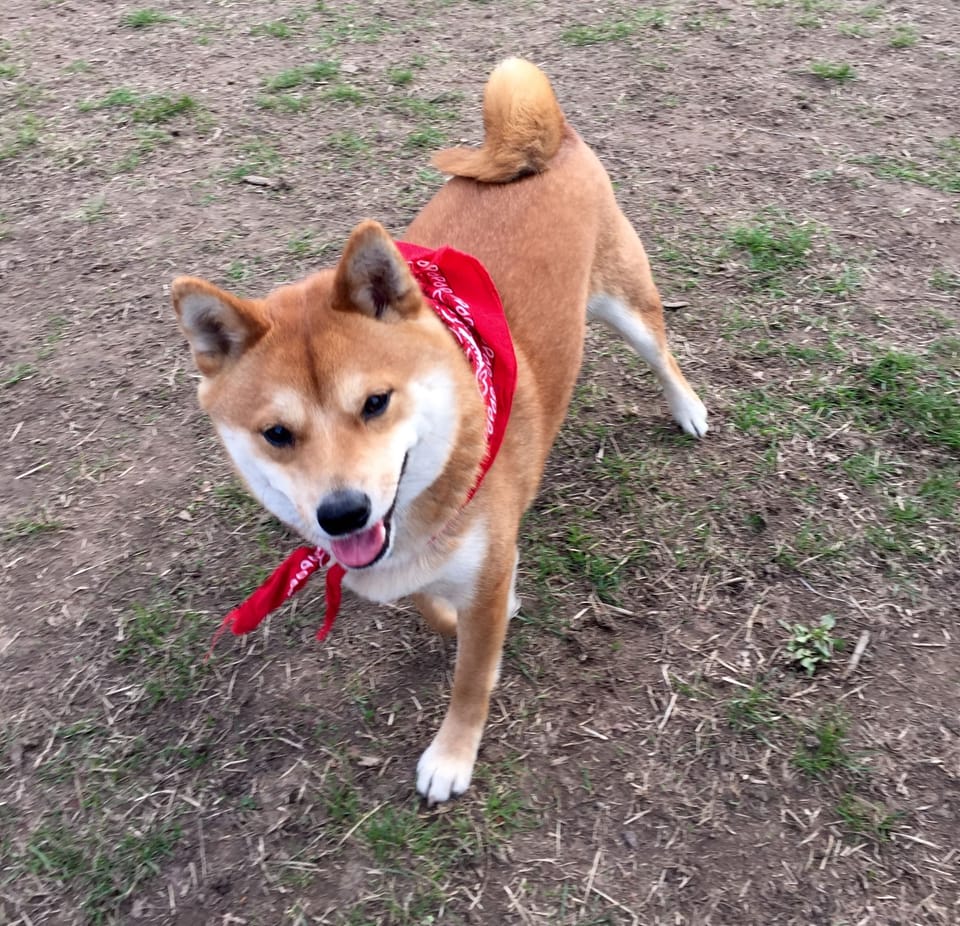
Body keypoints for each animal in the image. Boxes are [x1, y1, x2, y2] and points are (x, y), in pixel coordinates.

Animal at [172, 58, 704, 804]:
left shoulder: (482, 560)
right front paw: (459, 619)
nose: (342, 513)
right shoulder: (404, 556)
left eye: (375, 402)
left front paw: (452, 756)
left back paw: (688, 408)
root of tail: (546, 141)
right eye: (277, 433)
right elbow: (429, 603)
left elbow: (471, 678)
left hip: (625, 301)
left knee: (663, 355)